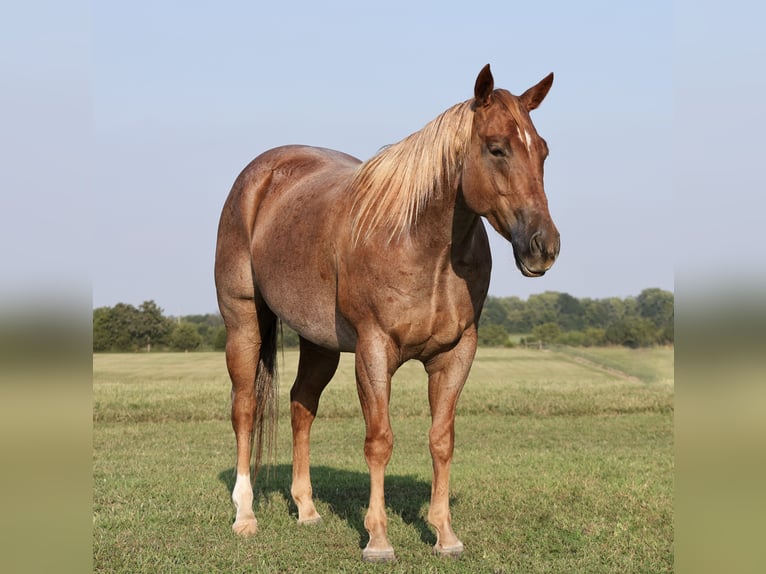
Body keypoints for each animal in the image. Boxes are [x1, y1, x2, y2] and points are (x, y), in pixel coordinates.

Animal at [213, 64, 560, 564]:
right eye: (497, 148)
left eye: (543, 151)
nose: (543, 247)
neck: (423, 245)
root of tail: (259, 177)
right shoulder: (374, 350)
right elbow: (379, 441)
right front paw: (378, 539)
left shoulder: (456, 354)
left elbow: (441, 440)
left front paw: (445, 535)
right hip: (243, 323)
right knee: (244, 409)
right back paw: (245, 516)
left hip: (319, 342)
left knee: (301, 406)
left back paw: (307, 509)